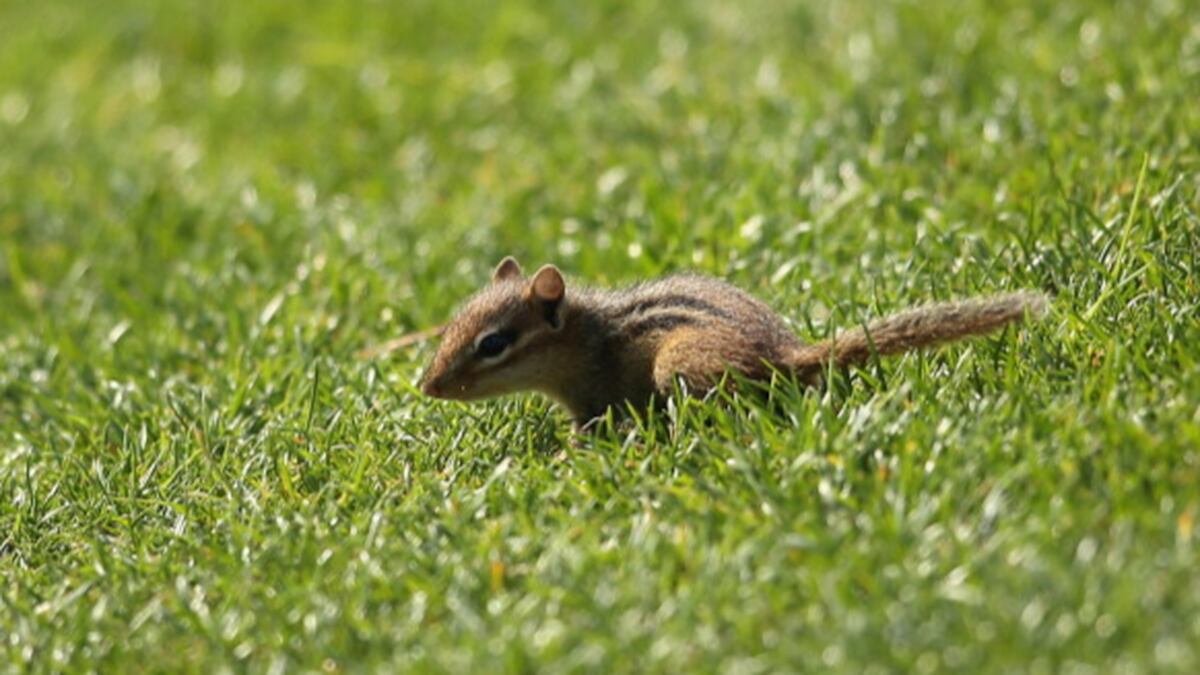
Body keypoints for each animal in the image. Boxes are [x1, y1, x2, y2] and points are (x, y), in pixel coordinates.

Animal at [419, 256, 1047, 432]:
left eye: (493, 343)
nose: (428, 386)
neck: (587, 336)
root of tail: (786, 354)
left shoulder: (594, 396)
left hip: (679, 363)